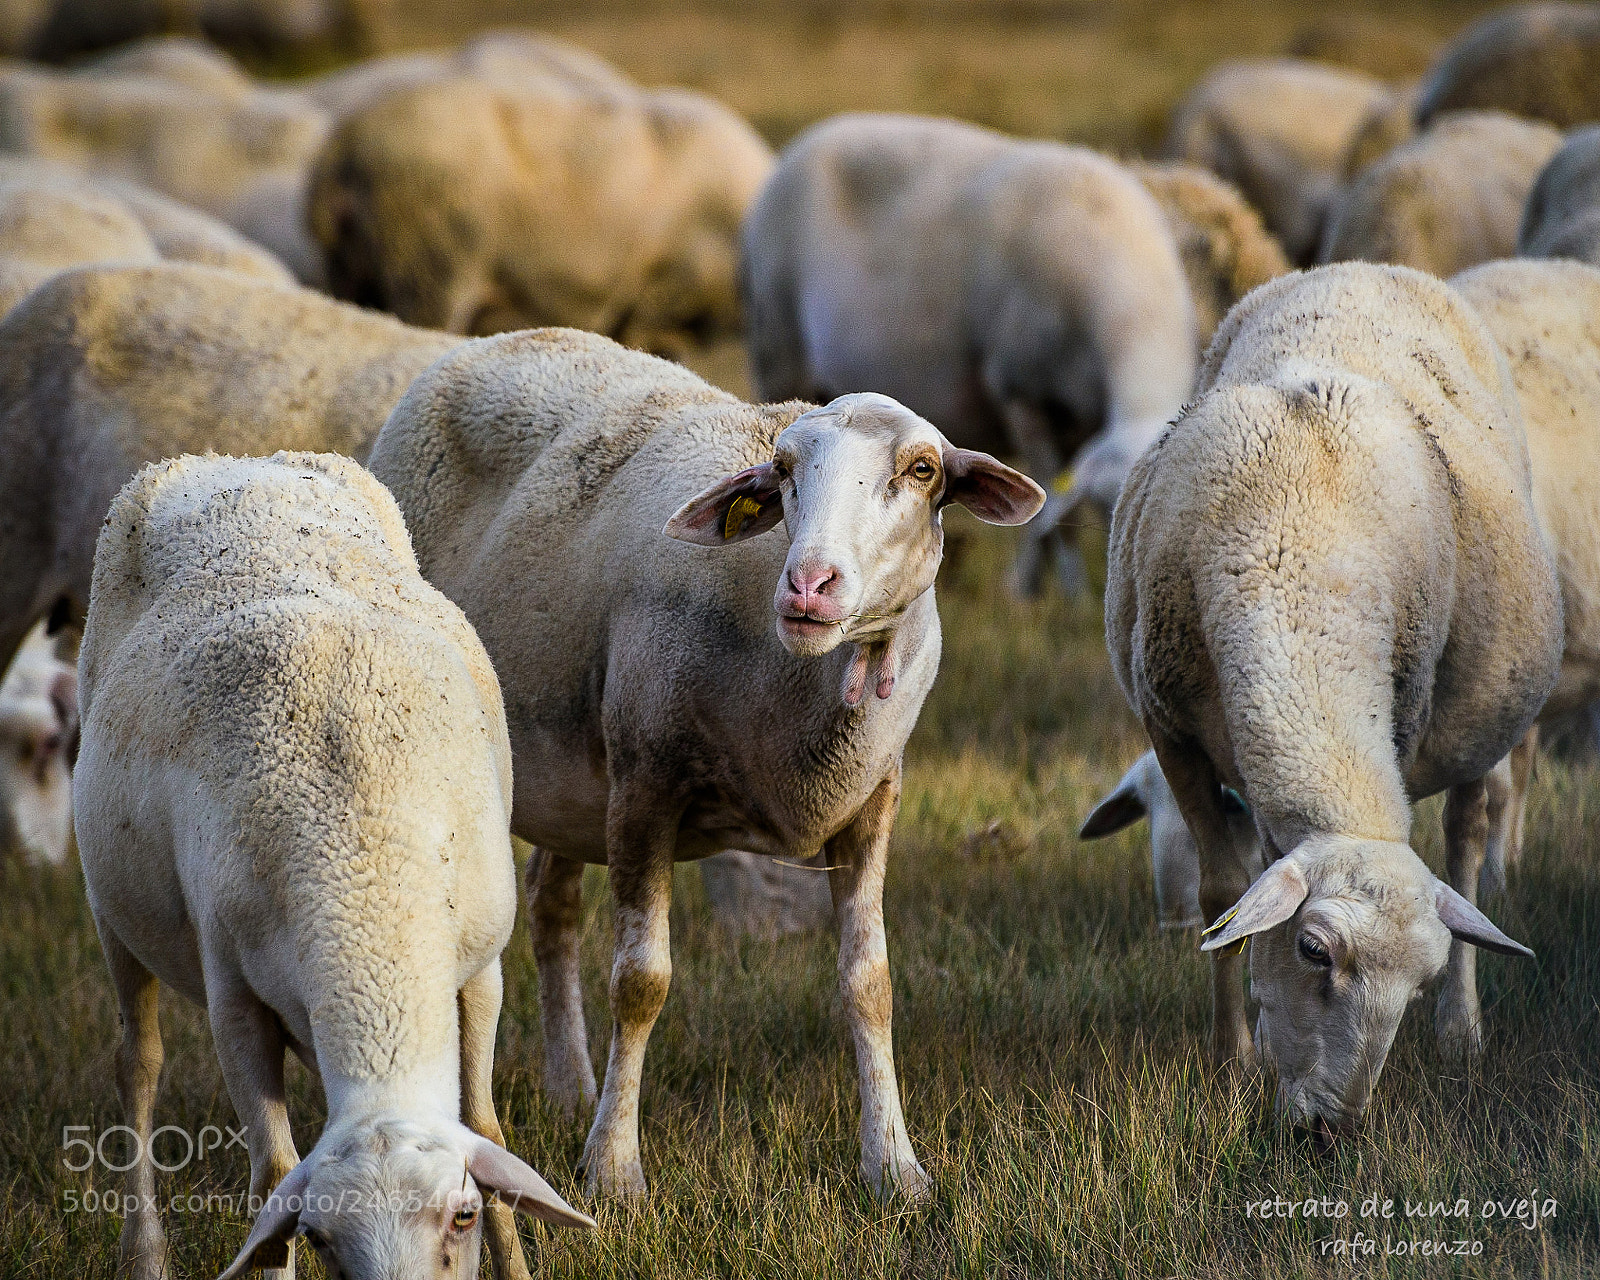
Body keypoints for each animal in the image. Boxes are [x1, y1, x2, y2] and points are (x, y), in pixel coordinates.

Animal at [76, 450, 593, 1280]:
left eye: (462, 1216)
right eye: (320, 1238)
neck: (365, 868)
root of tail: (237, 462)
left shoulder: (482, 968)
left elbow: (487, 1128)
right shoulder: (235, 1002)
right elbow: (274, 1175)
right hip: (110, 908)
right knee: (138, 1063)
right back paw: (144, 1252)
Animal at [364, 327, 1044, 1200]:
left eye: (922, 470)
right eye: (783, 471)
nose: (810, 586)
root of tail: (496, 340)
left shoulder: (873, 799)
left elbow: (871, 984)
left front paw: (895, 1168)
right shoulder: (645, 783)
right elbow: (640, 982)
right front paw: (614, 1171)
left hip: (568, 776)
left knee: (552, 907)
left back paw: (570, 1087)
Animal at [742, 113, 1196, 596]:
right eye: (1105, 508)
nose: (1122, 584)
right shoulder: (1022, 392)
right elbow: (1056, 508)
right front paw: (1060, 595)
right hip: (777, 345)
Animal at [1106, 261, 1569, 1135]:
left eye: (1416, 985)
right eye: (1314, 950)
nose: (1333, 1132)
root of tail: (1368, 267)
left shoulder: (1404, 706)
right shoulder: (1170, 727)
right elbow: (1226, 892)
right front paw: (1232, 1060)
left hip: (1477, 718)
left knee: (1466, 838)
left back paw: (1463, 1030)